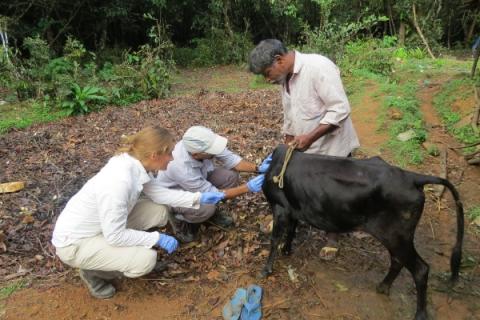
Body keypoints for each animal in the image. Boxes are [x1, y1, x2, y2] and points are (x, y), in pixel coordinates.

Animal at [262, 145, 464, 320]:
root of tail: (412, 177)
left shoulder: (279, 207)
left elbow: (275, 239)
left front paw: (266, 269)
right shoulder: (291, 209)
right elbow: (291, 230)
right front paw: (286, 250)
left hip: (396, 236)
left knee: (420, 269)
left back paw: (420, 314)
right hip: (397, 237)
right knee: (398, 261)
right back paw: (383, 287)